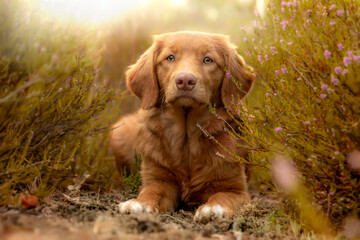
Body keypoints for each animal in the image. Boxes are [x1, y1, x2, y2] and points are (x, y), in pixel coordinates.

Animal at [108, 31, 255, 222]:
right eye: (170, 57)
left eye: (208, 60)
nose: (185, 80)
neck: (186, 141)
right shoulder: (159, 179)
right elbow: (151, 192)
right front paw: (138, 203)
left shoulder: (236, 189)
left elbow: (222, 196)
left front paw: (213, 208)